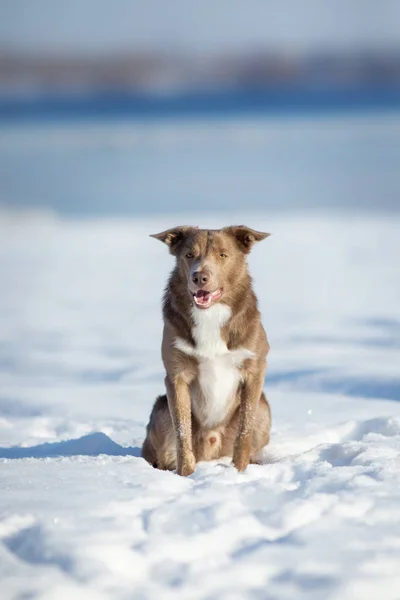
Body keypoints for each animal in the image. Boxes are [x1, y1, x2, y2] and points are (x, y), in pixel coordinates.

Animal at [141, 226, 272, 478]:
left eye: (223, 255)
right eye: (189, 255)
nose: (199, 277)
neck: (210, 315)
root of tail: (211, 453)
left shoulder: (254, 370)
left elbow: (244, 431)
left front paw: (239, 473)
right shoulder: (176, 376)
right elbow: (182, 434)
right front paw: (185, 476)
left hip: (264, 409)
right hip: (160, 411)